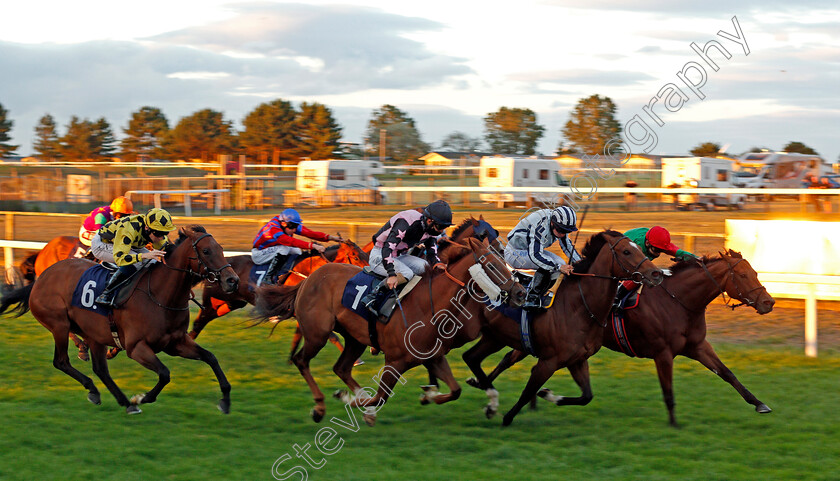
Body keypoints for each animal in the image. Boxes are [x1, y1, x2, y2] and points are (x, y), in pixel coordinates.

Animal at [0, 224, 243, 412]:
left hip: (94, 334)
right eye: (206, 251)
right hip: (58, 324)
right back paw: (100, 390)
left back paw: (122, 401)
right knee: (61, 361)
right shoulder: (136, 347)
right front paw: (143, 397)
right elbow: (165, 373)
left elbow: (211, 358)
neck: (160, 294)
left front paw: (225, 400)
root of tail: (41, 278)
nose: (232, 280)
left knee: (100, 369)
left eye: (221, 249)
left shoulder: (176, 342)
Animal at [190, 239, 368, 338]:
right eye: (356, 256)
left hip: (230, 303)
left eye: (365, 254)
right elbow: (331, 335)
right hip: (212, 301)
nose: (367, 272)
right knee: (198, 323)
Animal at [254, 235, 524, 424]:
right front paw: (357, 404)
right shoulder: (394, 361)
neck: (430, 305)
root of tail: (308, 279)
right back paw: (320, 407)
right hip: (317, 334)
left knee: (341, 367)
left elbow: (455, 390)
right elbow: (380, 396)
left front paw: (428, 395)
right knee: (302, 360)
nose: (521, 292)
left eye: (504, 261)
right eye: (492, 265)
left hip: (355, 339)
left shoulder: (433, 357)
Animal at [460, 229, 664, 424]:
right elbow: (527, 391)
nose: (656, 273)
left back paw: (482, 387)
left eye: (639, 249)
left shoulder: (577, 360)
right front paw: (507, 417)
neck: (579, 307)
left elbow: (586, 396)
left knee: (472, 357)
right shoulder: (549, 361)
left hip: (495, 337)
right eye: (627, 251)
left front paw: (548, 395)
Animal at [472, 248, 776, 424]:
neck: (679, 301)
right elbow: (668, 391)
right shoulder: (663, 353)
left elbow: (728, 374)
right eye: (743, 276)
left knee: (520, 362)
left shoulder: (698, 346)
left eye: (754, 271)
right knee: (509, 360)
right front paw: (674, 423)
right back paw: (486, 386)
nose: (768, 302)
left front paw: (760, 404)